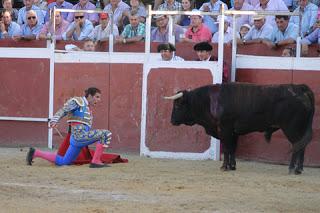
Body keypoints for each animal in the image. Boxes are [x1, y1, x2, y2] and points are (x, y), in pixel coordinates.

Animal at [165, 82, 316, 174]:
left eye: (177, 105)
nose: (172, 121)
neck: (209, 101)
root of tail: (301, 88)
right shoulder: (234, 132)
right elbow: (233, 148)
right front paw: (232, 166)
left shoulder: (224, 129)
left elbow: (227, 148)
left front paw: (224, 167)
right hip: (300, 128)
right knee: (302, 146)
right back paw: (298, 169)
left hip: (291, 128)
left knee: (297, 146)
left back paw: (291, 169)